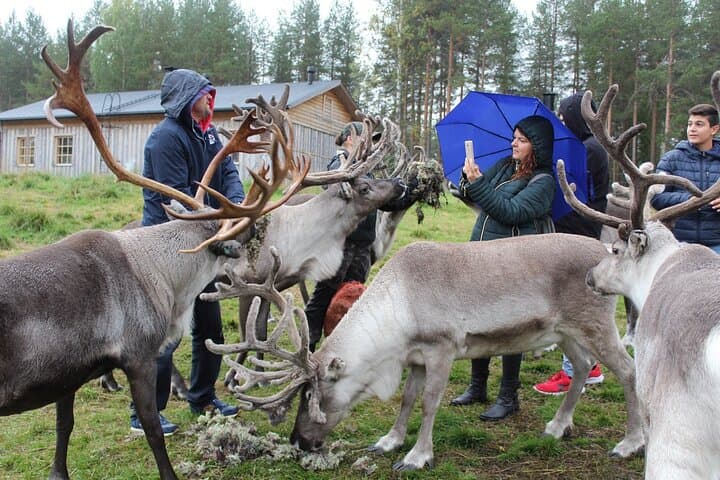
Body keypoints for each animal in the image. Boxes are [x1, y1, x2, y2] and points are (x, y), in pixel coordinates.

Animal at [199, 216, 645, 469]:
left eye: (315, 396)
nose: (298, 440)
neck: (399, 313)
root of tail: (607, 253)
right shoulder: (412, 356)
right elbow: (407, 399)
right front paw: (390, 441)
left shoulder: (443, 348)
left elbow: (429, 402)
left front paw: (417, 456)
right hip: (565, 331)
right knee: (584, 367)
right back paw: (556, 426)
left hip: (595, 323)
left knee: (628, 370)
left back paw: (630, 443)